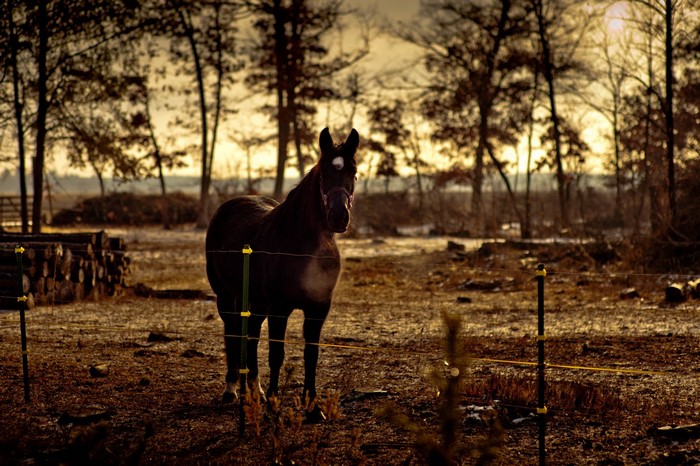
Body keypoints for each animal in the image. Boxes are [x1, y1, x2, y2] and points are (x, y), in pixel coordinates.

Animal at [205, 127, 359, 417]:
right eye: (324, 173)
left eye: (354, 172)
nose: (338, 217)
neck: (303, 248)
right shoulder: (279, 308)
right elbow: (276, 354)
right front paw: (275, 406)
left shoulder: (318, 308)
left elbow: (311, 355)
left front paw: (313, 408)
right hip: (226, 297)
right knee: (233, 333)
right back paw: (232, 390)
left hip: (256, 302)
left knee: (252, 335)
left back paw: (256, 392)